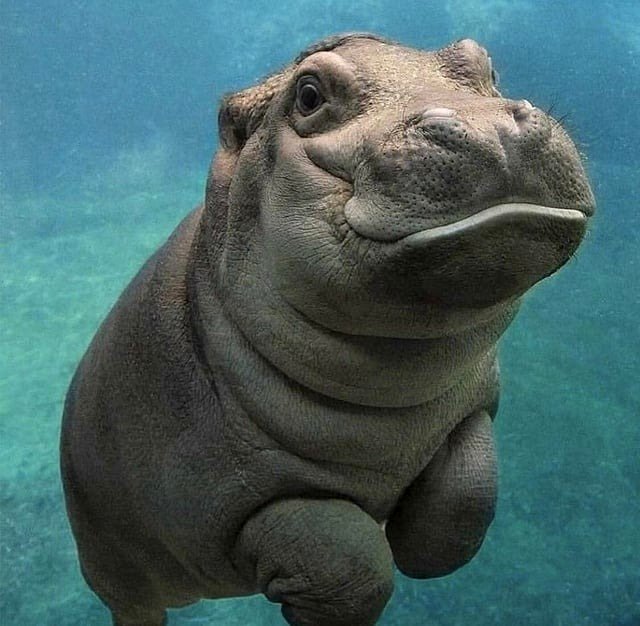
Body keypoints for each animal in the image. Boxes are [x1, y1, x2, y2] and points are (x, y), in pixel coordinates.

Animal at [60, 33, 595, 626]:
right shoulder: (225, 502)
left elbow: (465, 500)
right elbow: (349, 561)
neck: (391, 387)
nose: (492, 126)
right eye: (309, 95)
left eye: (486, 66)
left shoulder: (473, 407)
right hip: (117, 569)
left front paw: (419, 544)